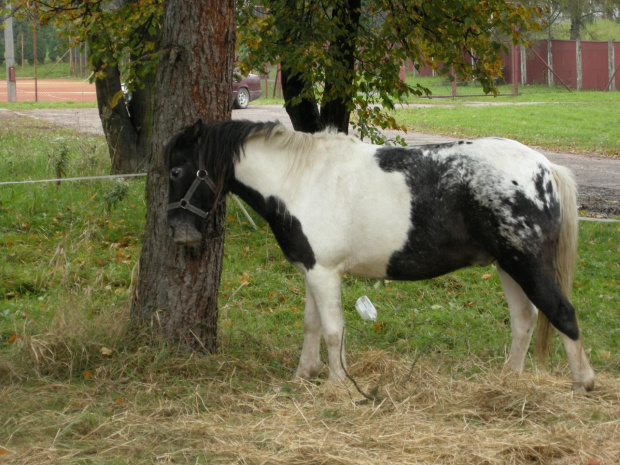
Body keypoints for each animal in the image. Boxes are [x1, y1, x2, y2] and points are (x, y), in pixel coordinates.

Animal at [166, 118, 596, 392]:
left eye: (176, 171)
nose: (179, 234)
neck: (300, 179)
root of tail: (545, 168)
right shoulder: (311, 270)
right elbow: (312, 325)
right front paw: (304, 375)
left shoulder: (324, 273)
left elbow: (333, 329)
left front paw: (339, 385)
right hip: (508, 267)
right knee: (525, 320)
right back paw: (509, 380)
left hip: (527, 265)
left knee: (562, 314)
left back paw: (583, 383)